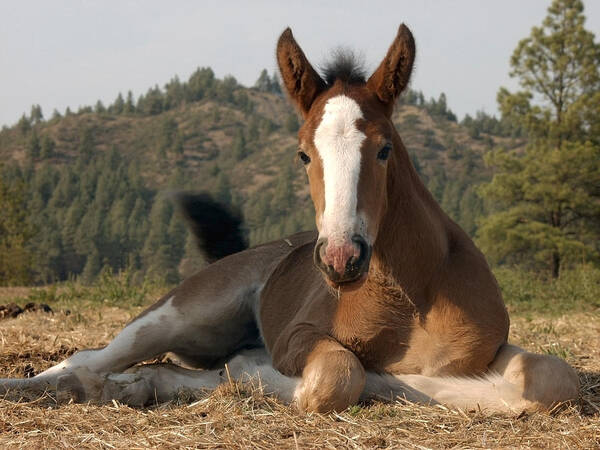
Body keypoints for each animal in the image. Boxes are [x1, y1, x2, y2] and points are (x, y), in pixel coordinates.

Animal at [0, 23, 580, 412]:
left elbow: (552, 379)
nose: (342, 258)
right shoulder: (299, 338)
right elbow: (337, 375)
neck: (410, 301)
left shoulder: (492, 348)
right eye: (303, 154)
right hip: (180, 312)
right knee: (90, 357)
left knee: (149, 367)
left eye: (385, 149)